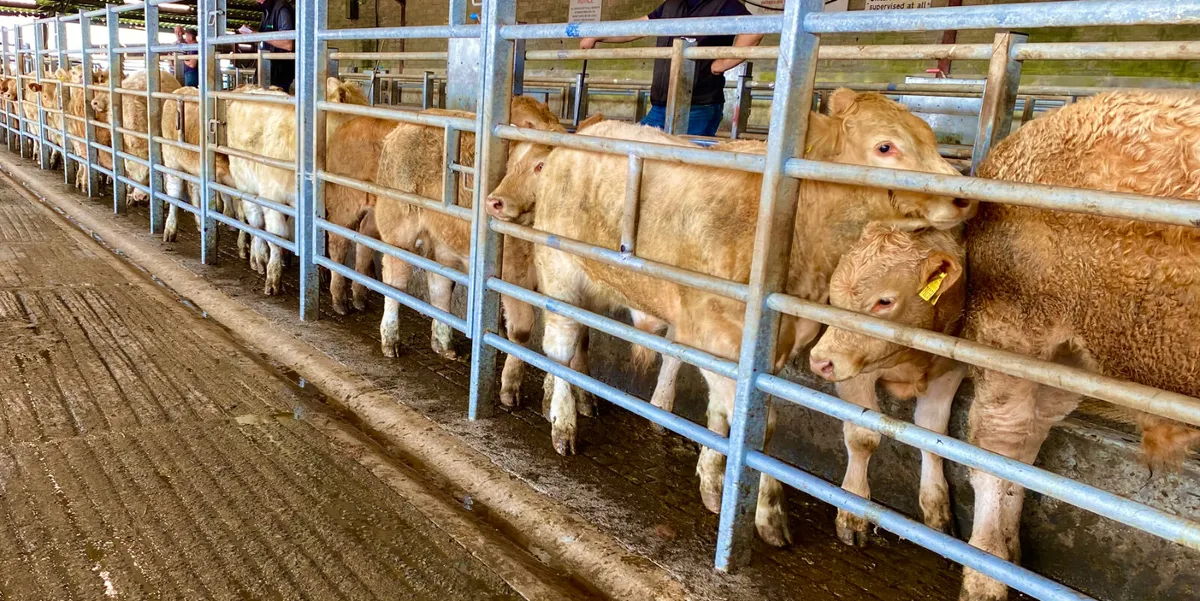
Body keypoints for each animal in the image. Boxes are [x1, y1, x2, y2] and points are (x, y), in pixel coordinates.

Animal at [223, 77, 369, 295]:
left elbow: (323, 239)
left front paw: (323, 273)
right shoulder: (272, 197)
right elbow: (276, 236)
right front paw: (273, 277)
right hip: (246, 185)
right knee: (255, 224)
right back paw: (258, 258)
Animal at [807, 221, 967, 545]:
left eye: (884, 301)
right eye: (832, 296)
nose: (820, 361)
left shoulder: (950, 367)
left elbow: (933, 435)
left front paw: (937, 511)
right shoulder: (858, 373)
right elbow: (862, 436)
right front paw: (853, 512)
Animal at [957, 90, 1200, 601]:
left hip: (1070, 358)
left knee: (1025, 444)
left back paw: (1011, 560)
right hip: (1010, 330)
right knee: (996, 446)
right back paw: (986, 578)